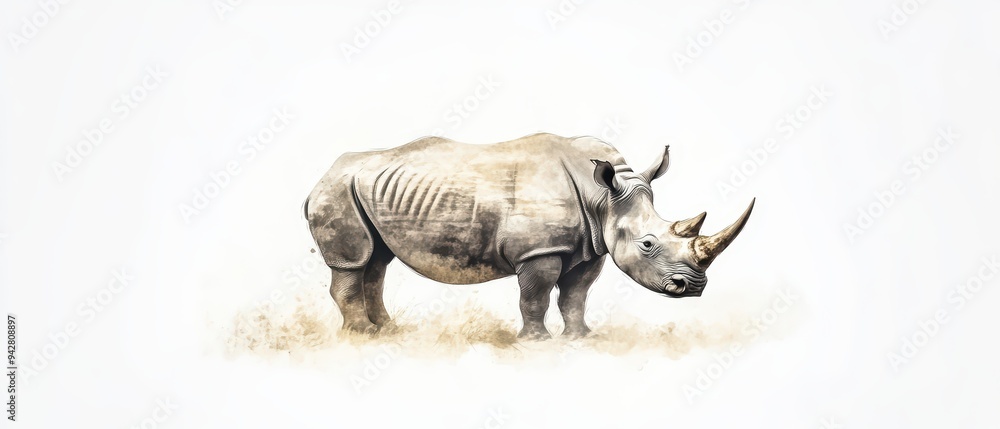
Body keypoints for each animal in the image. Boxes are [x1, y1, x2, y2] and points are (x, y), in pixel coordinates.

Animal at [304, 133, 753, 339]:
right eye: (647, 244)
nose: (693, 288)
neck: (603, 198)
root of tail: (321, 175)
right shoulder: (538, 250)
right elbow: (535, 296)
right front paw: (537, 342)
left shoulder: (591, 247)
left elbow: (575, 295)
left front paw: (581, 338)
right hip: (339, 191)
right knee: (355, 261)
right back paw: (362, 335)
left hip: (363, 190)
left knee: (377, 260)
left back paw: (389, 330)